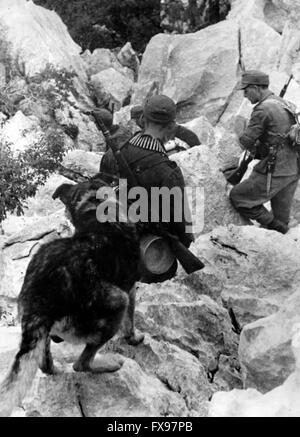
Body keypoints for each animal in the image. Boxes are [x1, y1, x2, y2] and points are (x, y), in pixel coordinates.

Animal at [0, 175, 144, 416]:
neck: (94, 205)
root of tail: (40, 305)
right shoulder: (130, 287)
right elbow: (130, 323)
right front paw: (133, 339)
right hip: (117, 301)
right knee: (81, 364)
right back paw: (108, 364)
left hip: (40, 332)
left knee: (45, 364)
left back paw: (56, 369)